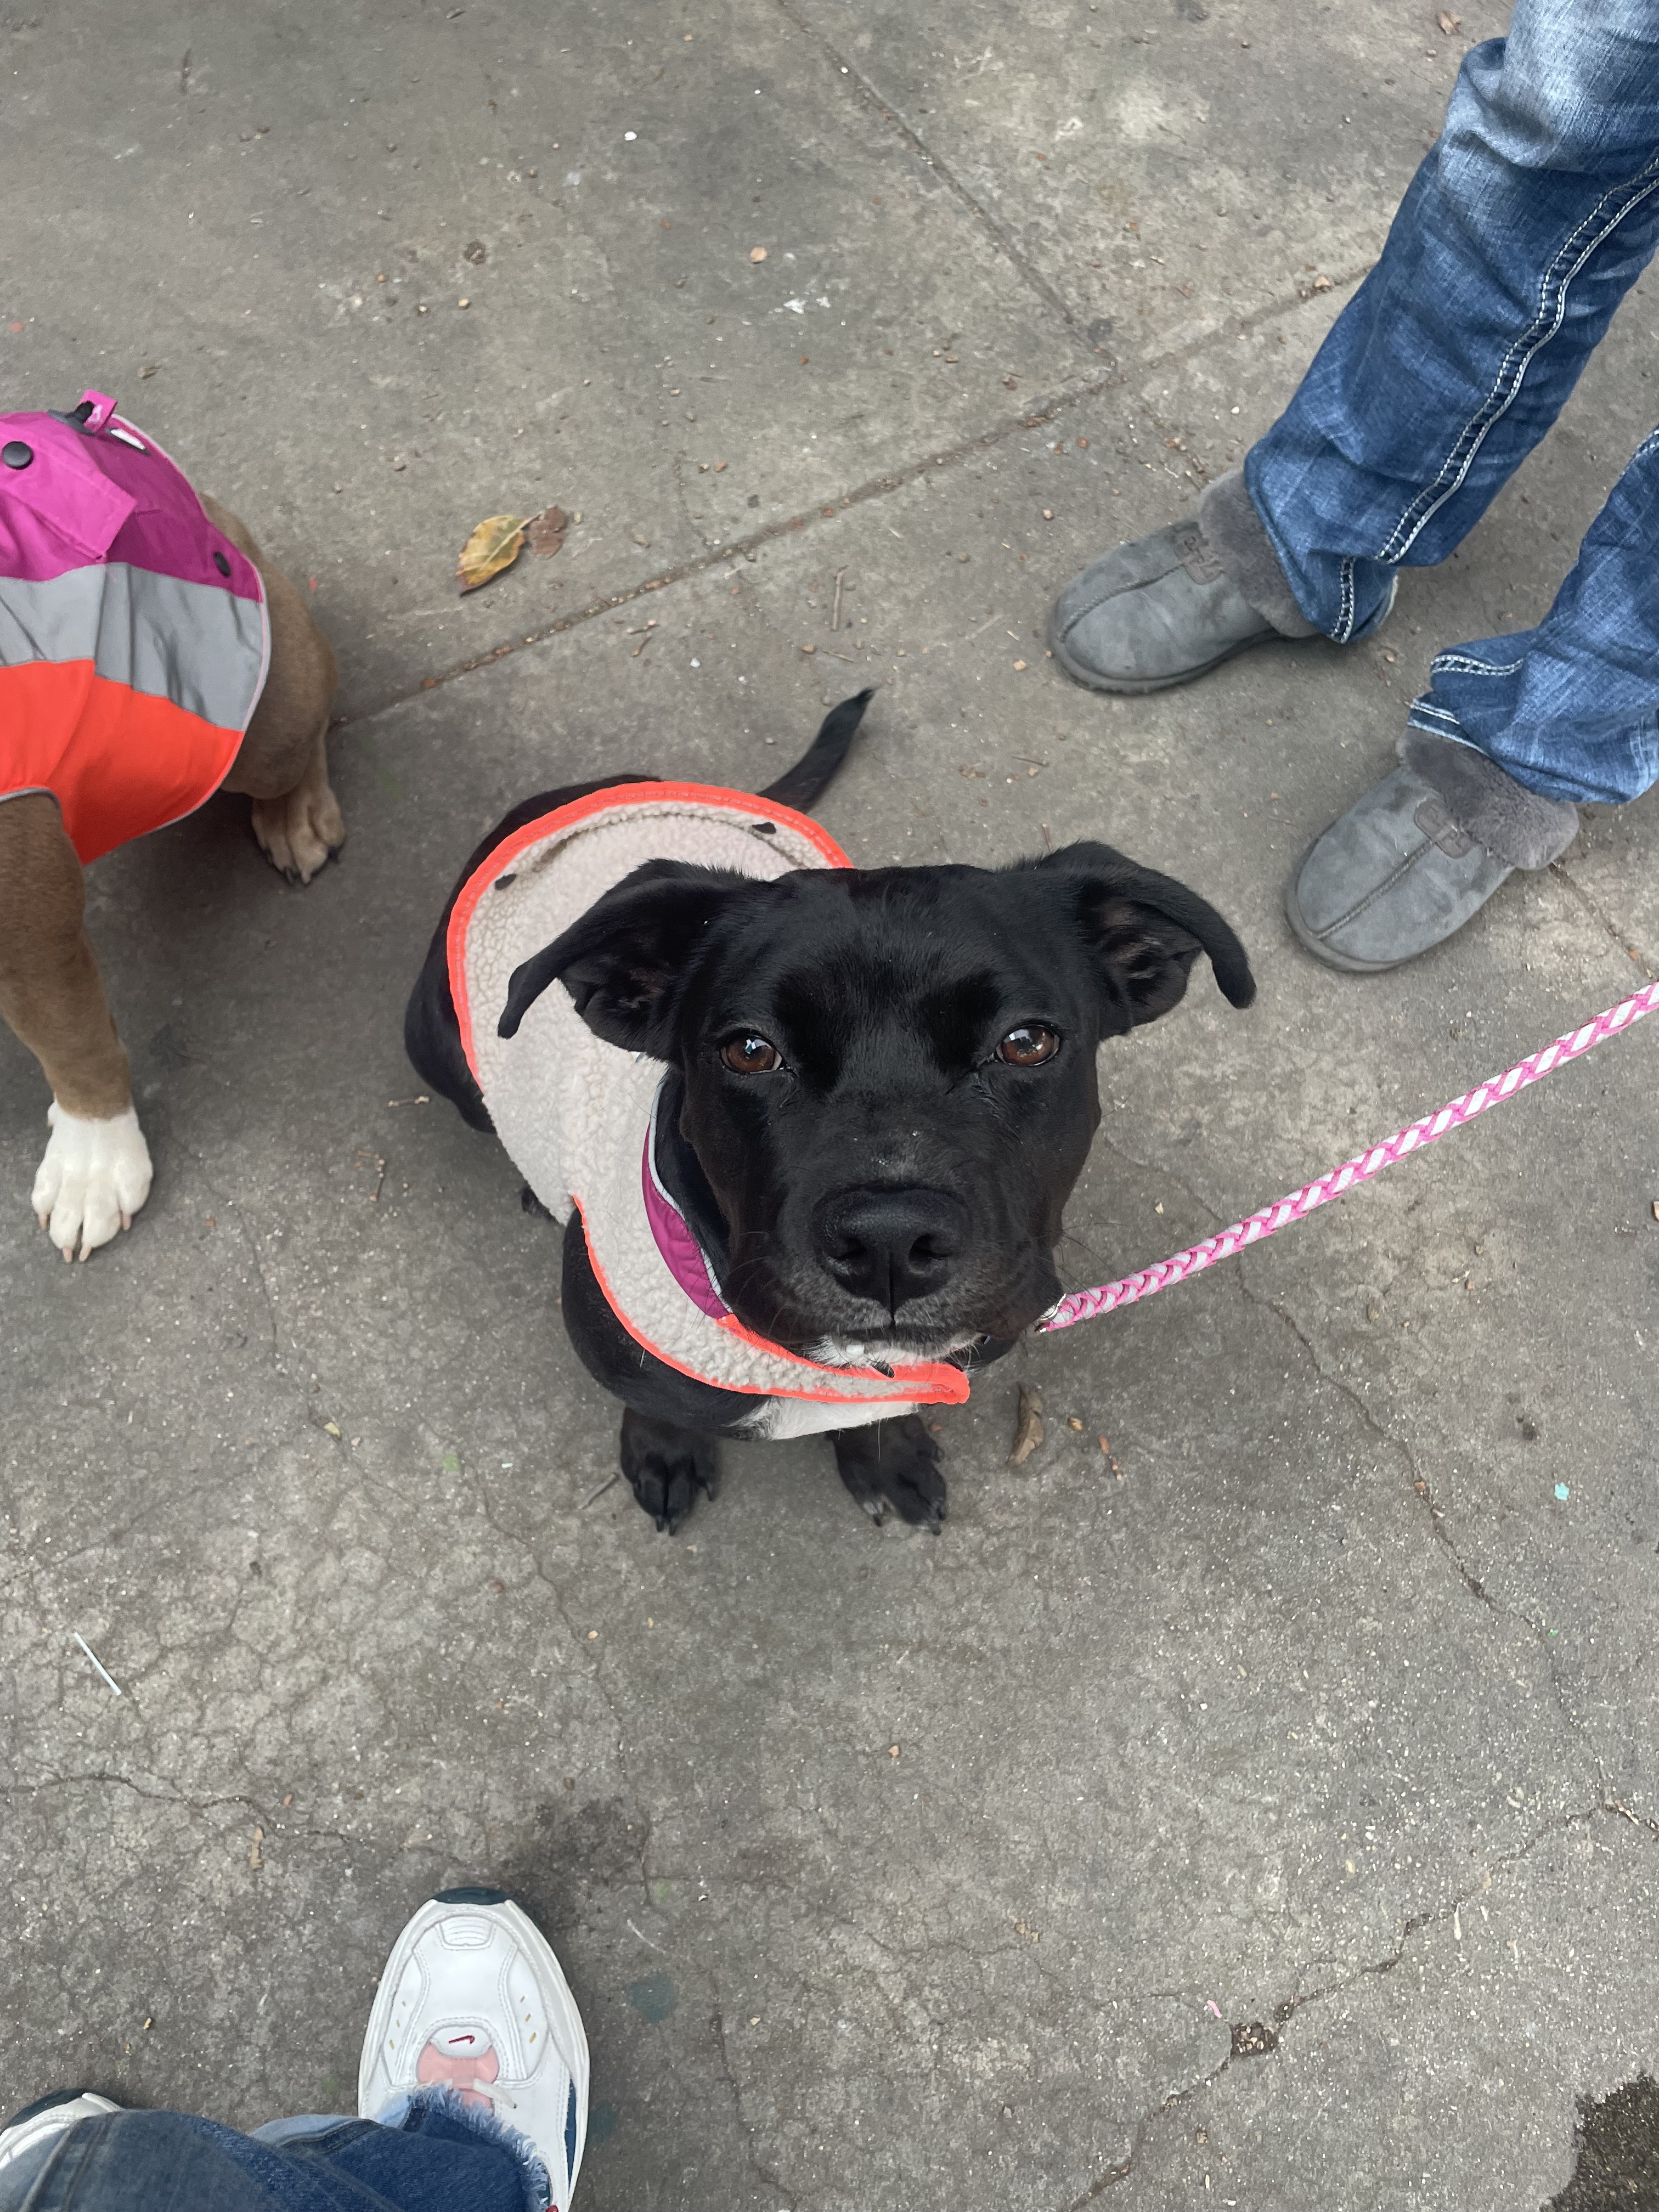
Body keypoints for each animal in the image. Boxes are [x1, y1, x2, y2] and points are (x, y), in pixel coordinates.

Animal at [409, 699, 1256, 1531]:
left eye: (1026, 1042)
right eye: (750, 1051)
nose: (890, 1241)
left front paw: (884, 1453)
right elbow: (653, 1402)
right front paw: (665, 1449)